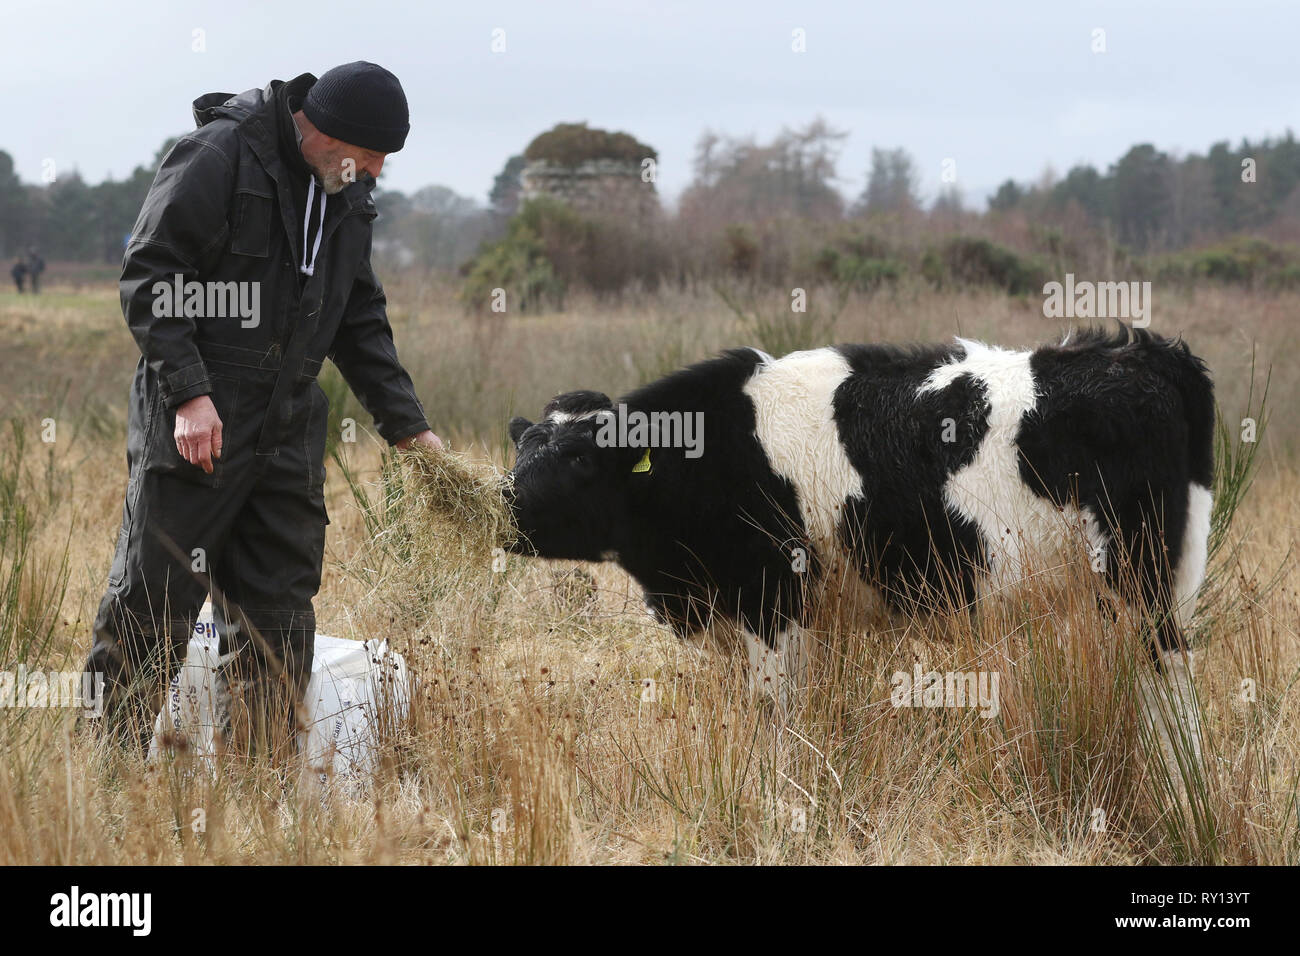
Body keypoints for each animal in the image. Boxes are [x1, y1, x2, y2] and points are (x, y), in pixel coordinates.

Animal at [501, 327, 1211, 697]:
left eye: (581, 459)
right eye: (523, 447)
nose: (504, 501)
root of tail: (1140, 350)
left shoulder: (773, 604)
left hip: (1139, 580)